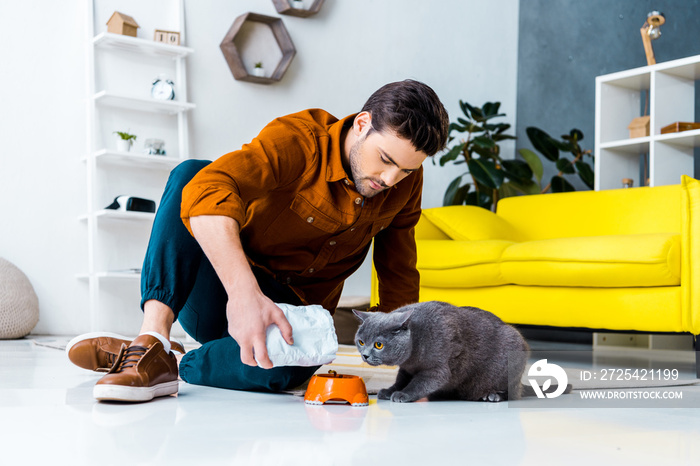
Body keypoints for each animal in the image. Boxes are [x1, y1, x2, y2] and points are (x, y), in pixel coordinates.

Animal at [356, 300, 532, 402]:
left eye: (378, 345)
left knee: (512, 392)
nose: (365, 355)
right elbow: (400, 380)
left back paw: (493, 395)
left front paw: (403, 394)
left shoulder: (437, 369)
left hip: (512, 353)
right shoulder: (406, 369)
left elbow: (419, 383)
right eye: (361, 342)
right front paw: (389, 391)